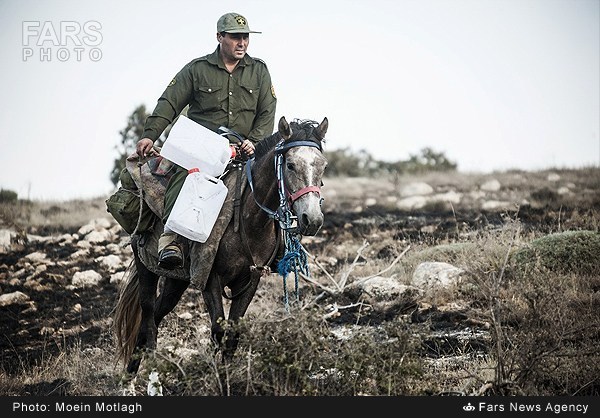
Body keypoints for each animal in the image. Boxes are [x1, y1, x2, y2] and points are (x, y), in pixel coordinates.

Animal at [112, 116, 328, 378]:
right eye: (291, 165)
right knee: (148, 319)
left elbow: (232, 336)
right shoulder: (209, 279)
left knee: (155, 316)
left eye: (323, 166)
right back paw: (140, 375)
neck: (247, 219)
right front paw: (219, 378)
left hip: (176, 281)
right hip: (147, 270)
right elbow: (218, 332)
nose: (312, 219)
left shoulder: (249, 281)